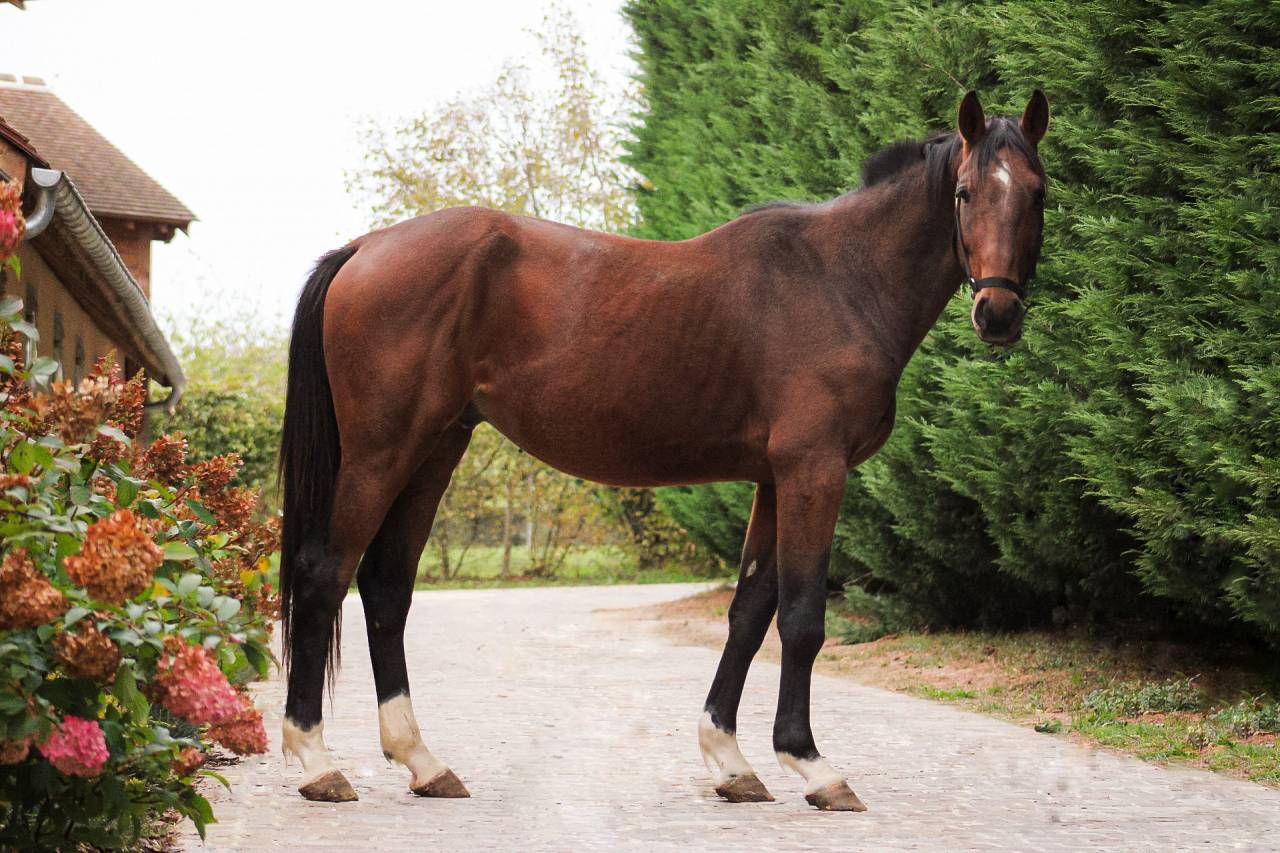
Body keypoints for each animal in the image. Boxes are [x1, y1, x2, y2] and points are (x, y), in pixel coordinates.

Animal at [277, 90, 1049, 811]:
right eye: (964, 192)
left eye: (1038, 192)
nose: (997, 314)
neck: (841, 279)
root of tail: (365, 248)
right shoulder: (814, 471)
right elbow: (801, 617)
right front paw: (812, 765)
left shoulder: (775, 479)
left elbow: (749, 611)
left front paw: (731, 761)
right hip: (381, 453)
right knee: (324, 575)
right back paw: (318, 762)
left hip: (435, 448)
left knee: (386, 586)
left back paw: (422, 761)